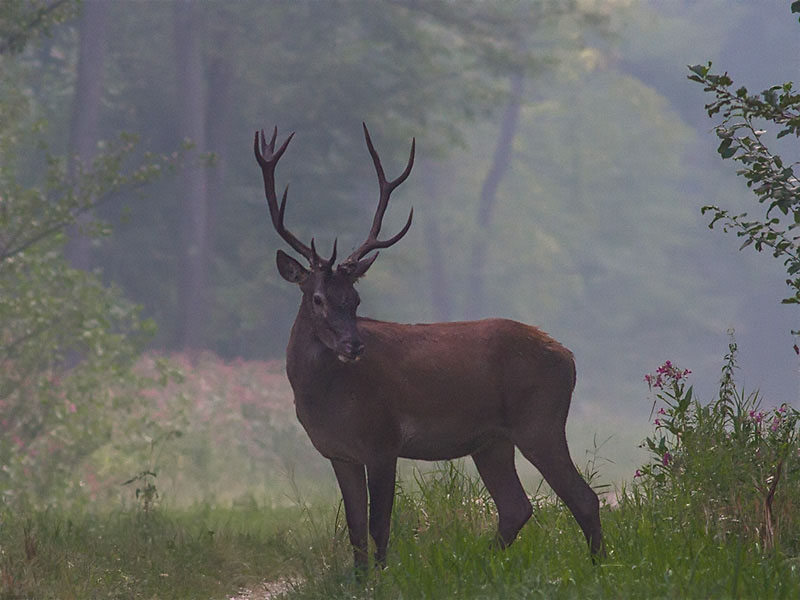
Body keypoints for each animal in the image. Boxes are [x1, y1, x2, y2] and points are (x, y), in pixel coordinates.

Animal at [253, 124, 604, 576]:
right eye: (318, 298)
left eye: (355, 299)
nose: (354, 345)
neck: (324, 400)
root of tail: (569, 358)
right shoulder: (339, 454)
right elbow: (354, 529)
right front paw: (360, 580)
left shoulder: (382, 440)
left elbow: (379, 525)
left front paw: (383, 579)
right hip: (492, 440)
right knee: (516, 507)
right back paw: (478, 567)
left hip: (539, 421)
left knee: (583, 497)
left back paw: (600, 567)